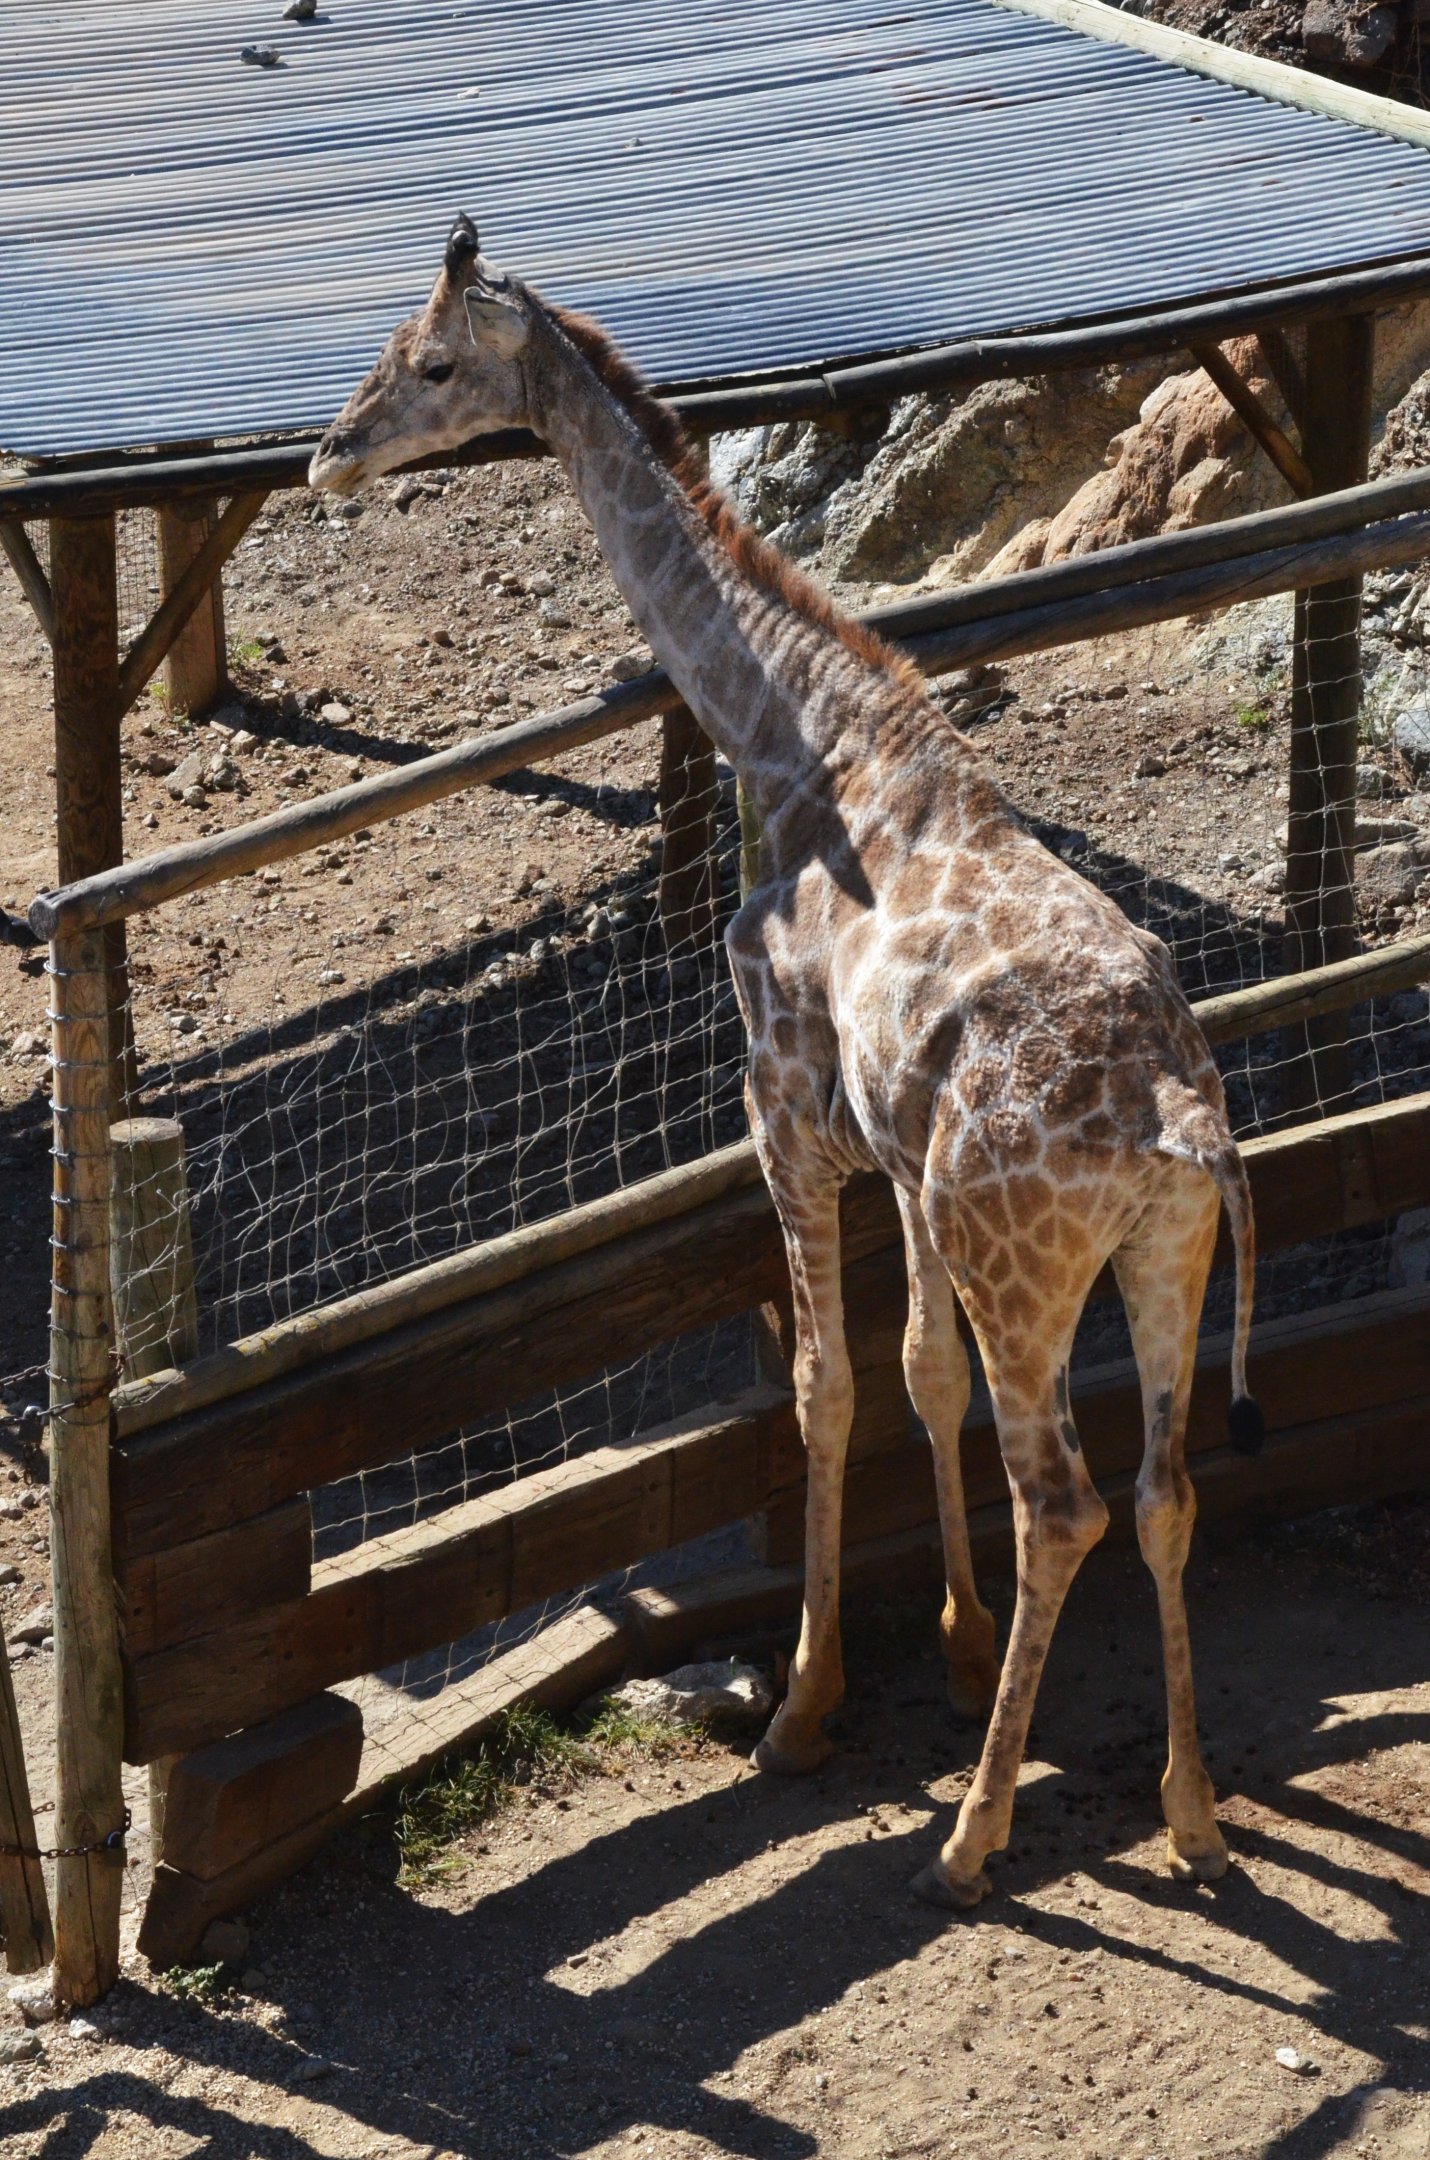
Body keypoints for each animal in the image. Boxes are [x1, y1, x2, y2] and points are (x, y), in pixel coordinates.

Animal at [311, 216, 1265, 1909]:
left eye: (427, 364)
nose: (327, 454)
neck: (791, 732)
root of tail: (1177, 1117)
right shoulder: (892, 1147)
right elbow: (918, 1372)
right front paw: (948, 1652)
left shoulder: (783, 1108)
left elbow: (826, 1389)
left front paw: (809, 1706)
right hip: (1162, 1252)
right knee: (1164, 1493)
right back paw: (1192, 1809)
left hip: (1025, 1258)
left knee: (1066, 1504)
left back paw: (970, 1837)